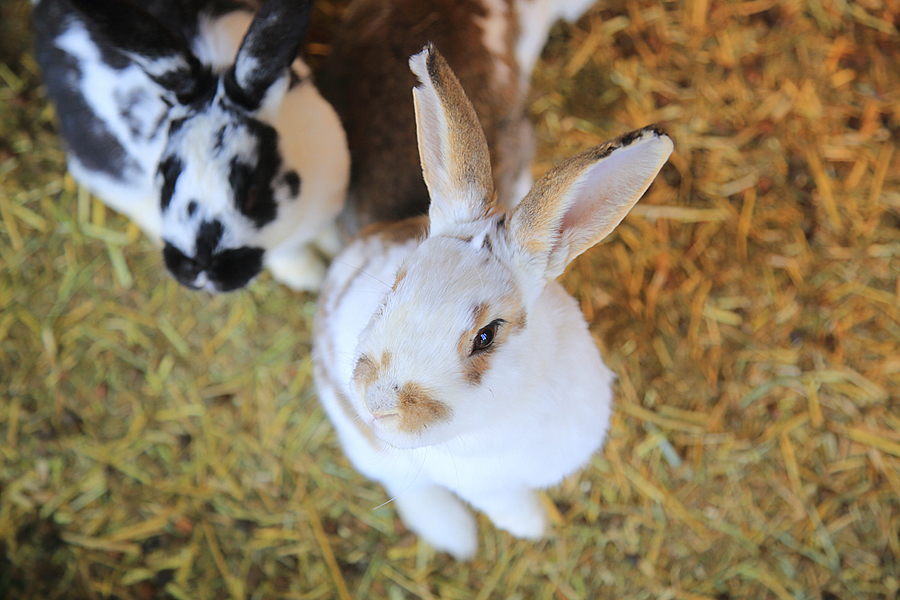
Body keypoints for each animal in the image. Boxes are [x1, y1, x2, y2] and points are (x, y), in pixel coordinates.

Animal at [31, 0, 350, 292]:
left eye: (253, 188)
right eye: (164, 180)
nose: (200, 271)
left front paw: (337, 251)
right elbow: (291, 255)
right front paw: (313, 278)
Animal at [312, 45, 672, 556]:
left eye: (486, 336)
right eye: (395, 287)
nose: (378, 404)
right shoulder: (488, 487)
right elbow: (511, 508)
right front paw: (539, 528)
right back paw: (455, 536)